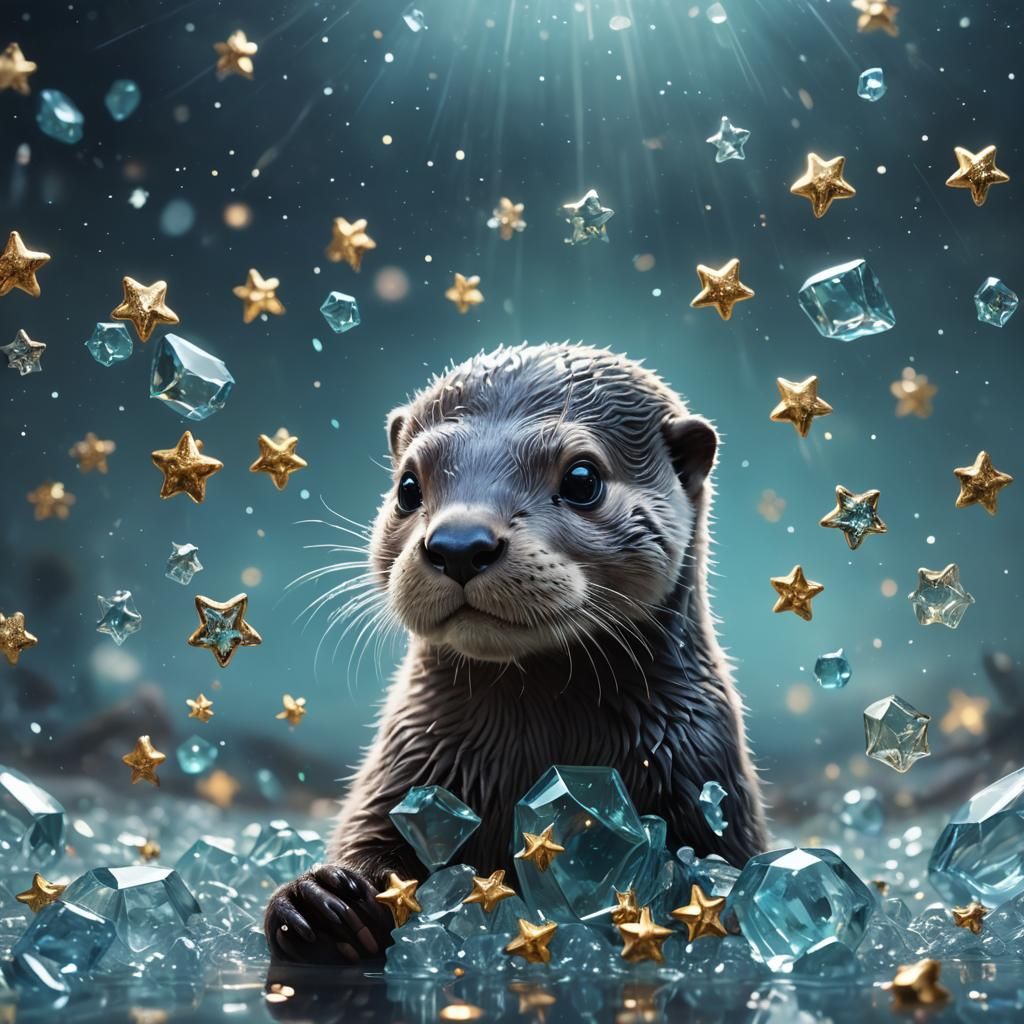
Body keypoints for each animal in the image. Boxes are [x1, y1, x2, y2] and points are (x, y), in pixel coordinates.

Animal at [264, 343, 768, 963]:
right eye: (408, 486)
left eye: (582, 478)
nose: (459, 544)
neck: (540, 752)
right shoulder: (403, 766)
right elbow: (366, 835)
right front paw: (319, 900)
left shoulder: (706, 778)